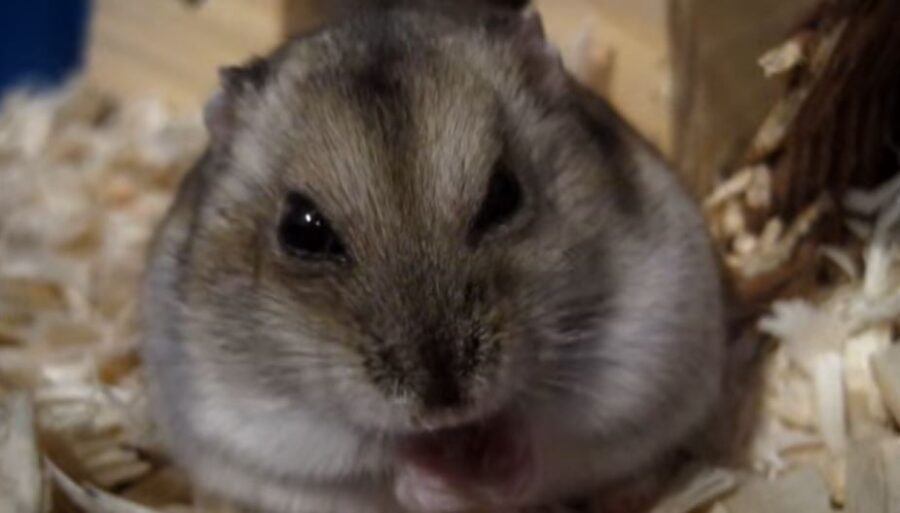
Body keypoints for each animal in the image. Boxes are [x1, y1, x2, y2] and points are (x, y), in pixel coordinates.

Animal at [139, 2, 728, 512]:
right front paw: (446, 480)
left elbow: (544, 433)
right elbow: (375, 457)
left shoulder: (639, 351)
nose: (444, 402)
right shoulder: (261, 424)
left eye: (504, 194)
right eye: (301, 230)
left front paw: (495, 471)